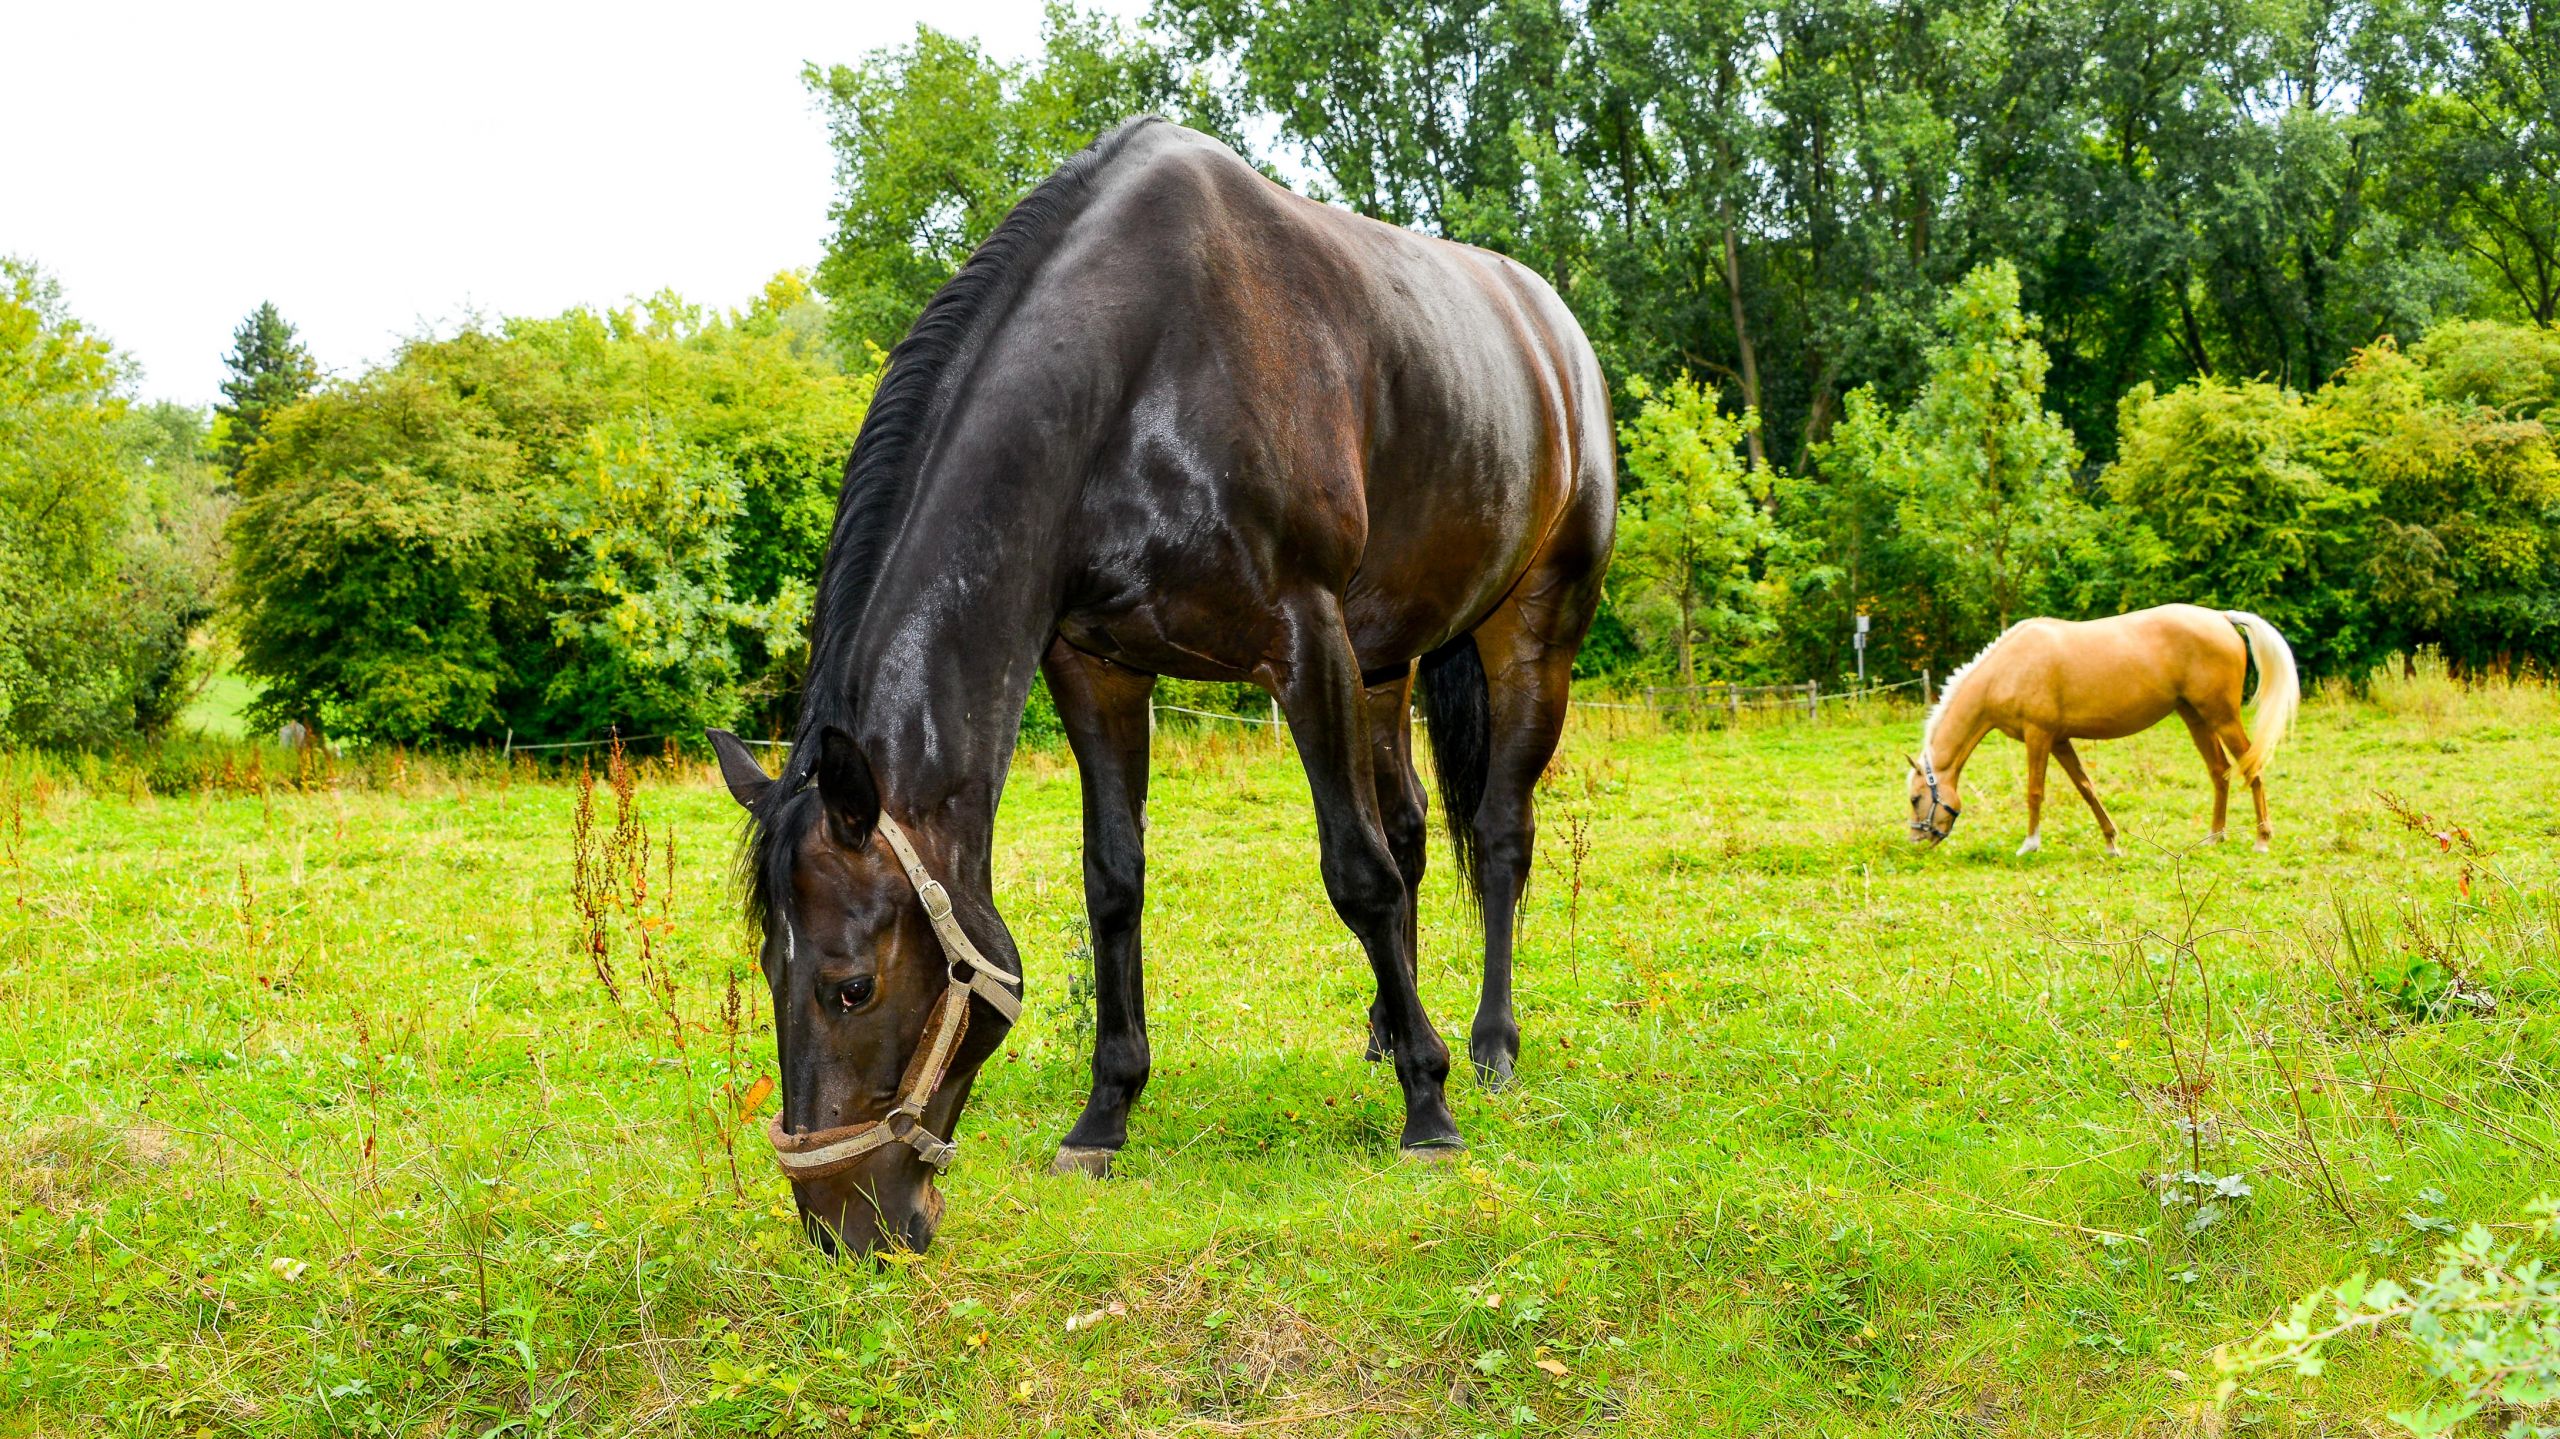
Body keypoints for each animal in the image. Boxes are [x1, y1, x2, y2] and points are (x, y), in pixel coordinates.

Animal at [696, 117, 1617, 1249]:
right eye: (767, 970)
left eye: (851, 987)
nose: (841, 1225)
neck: (1138, 380)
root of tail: (1556, 332)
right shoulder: (1096, 665)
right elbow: (1115, 881)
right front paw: (1105, 1112)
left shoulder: (1304, 640)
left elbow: (1353, 871)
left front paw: (1429, 1110)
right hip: (1385, 659)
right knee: (1407, 828)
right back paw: (1388, 1028)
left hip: (1529, 632)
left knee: (1494, 835)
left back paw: (1485, 1046)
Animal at [1904, 601, 2304, 850]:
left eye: (1915, 798)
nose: (1917, 839)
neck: (2007, 670)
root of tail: (2222, 618)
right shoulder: (2059, 740)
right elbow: (2086, 788)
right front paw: (2112, 841)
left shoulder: (2038, 736)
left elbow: (2035, 791)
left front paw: (2030, 844)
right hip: (2195, 716)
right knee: (2219, 771)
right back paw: (2214, 837)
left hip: (2221, 716)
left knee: (2251, 768)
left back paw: (2262, 839)